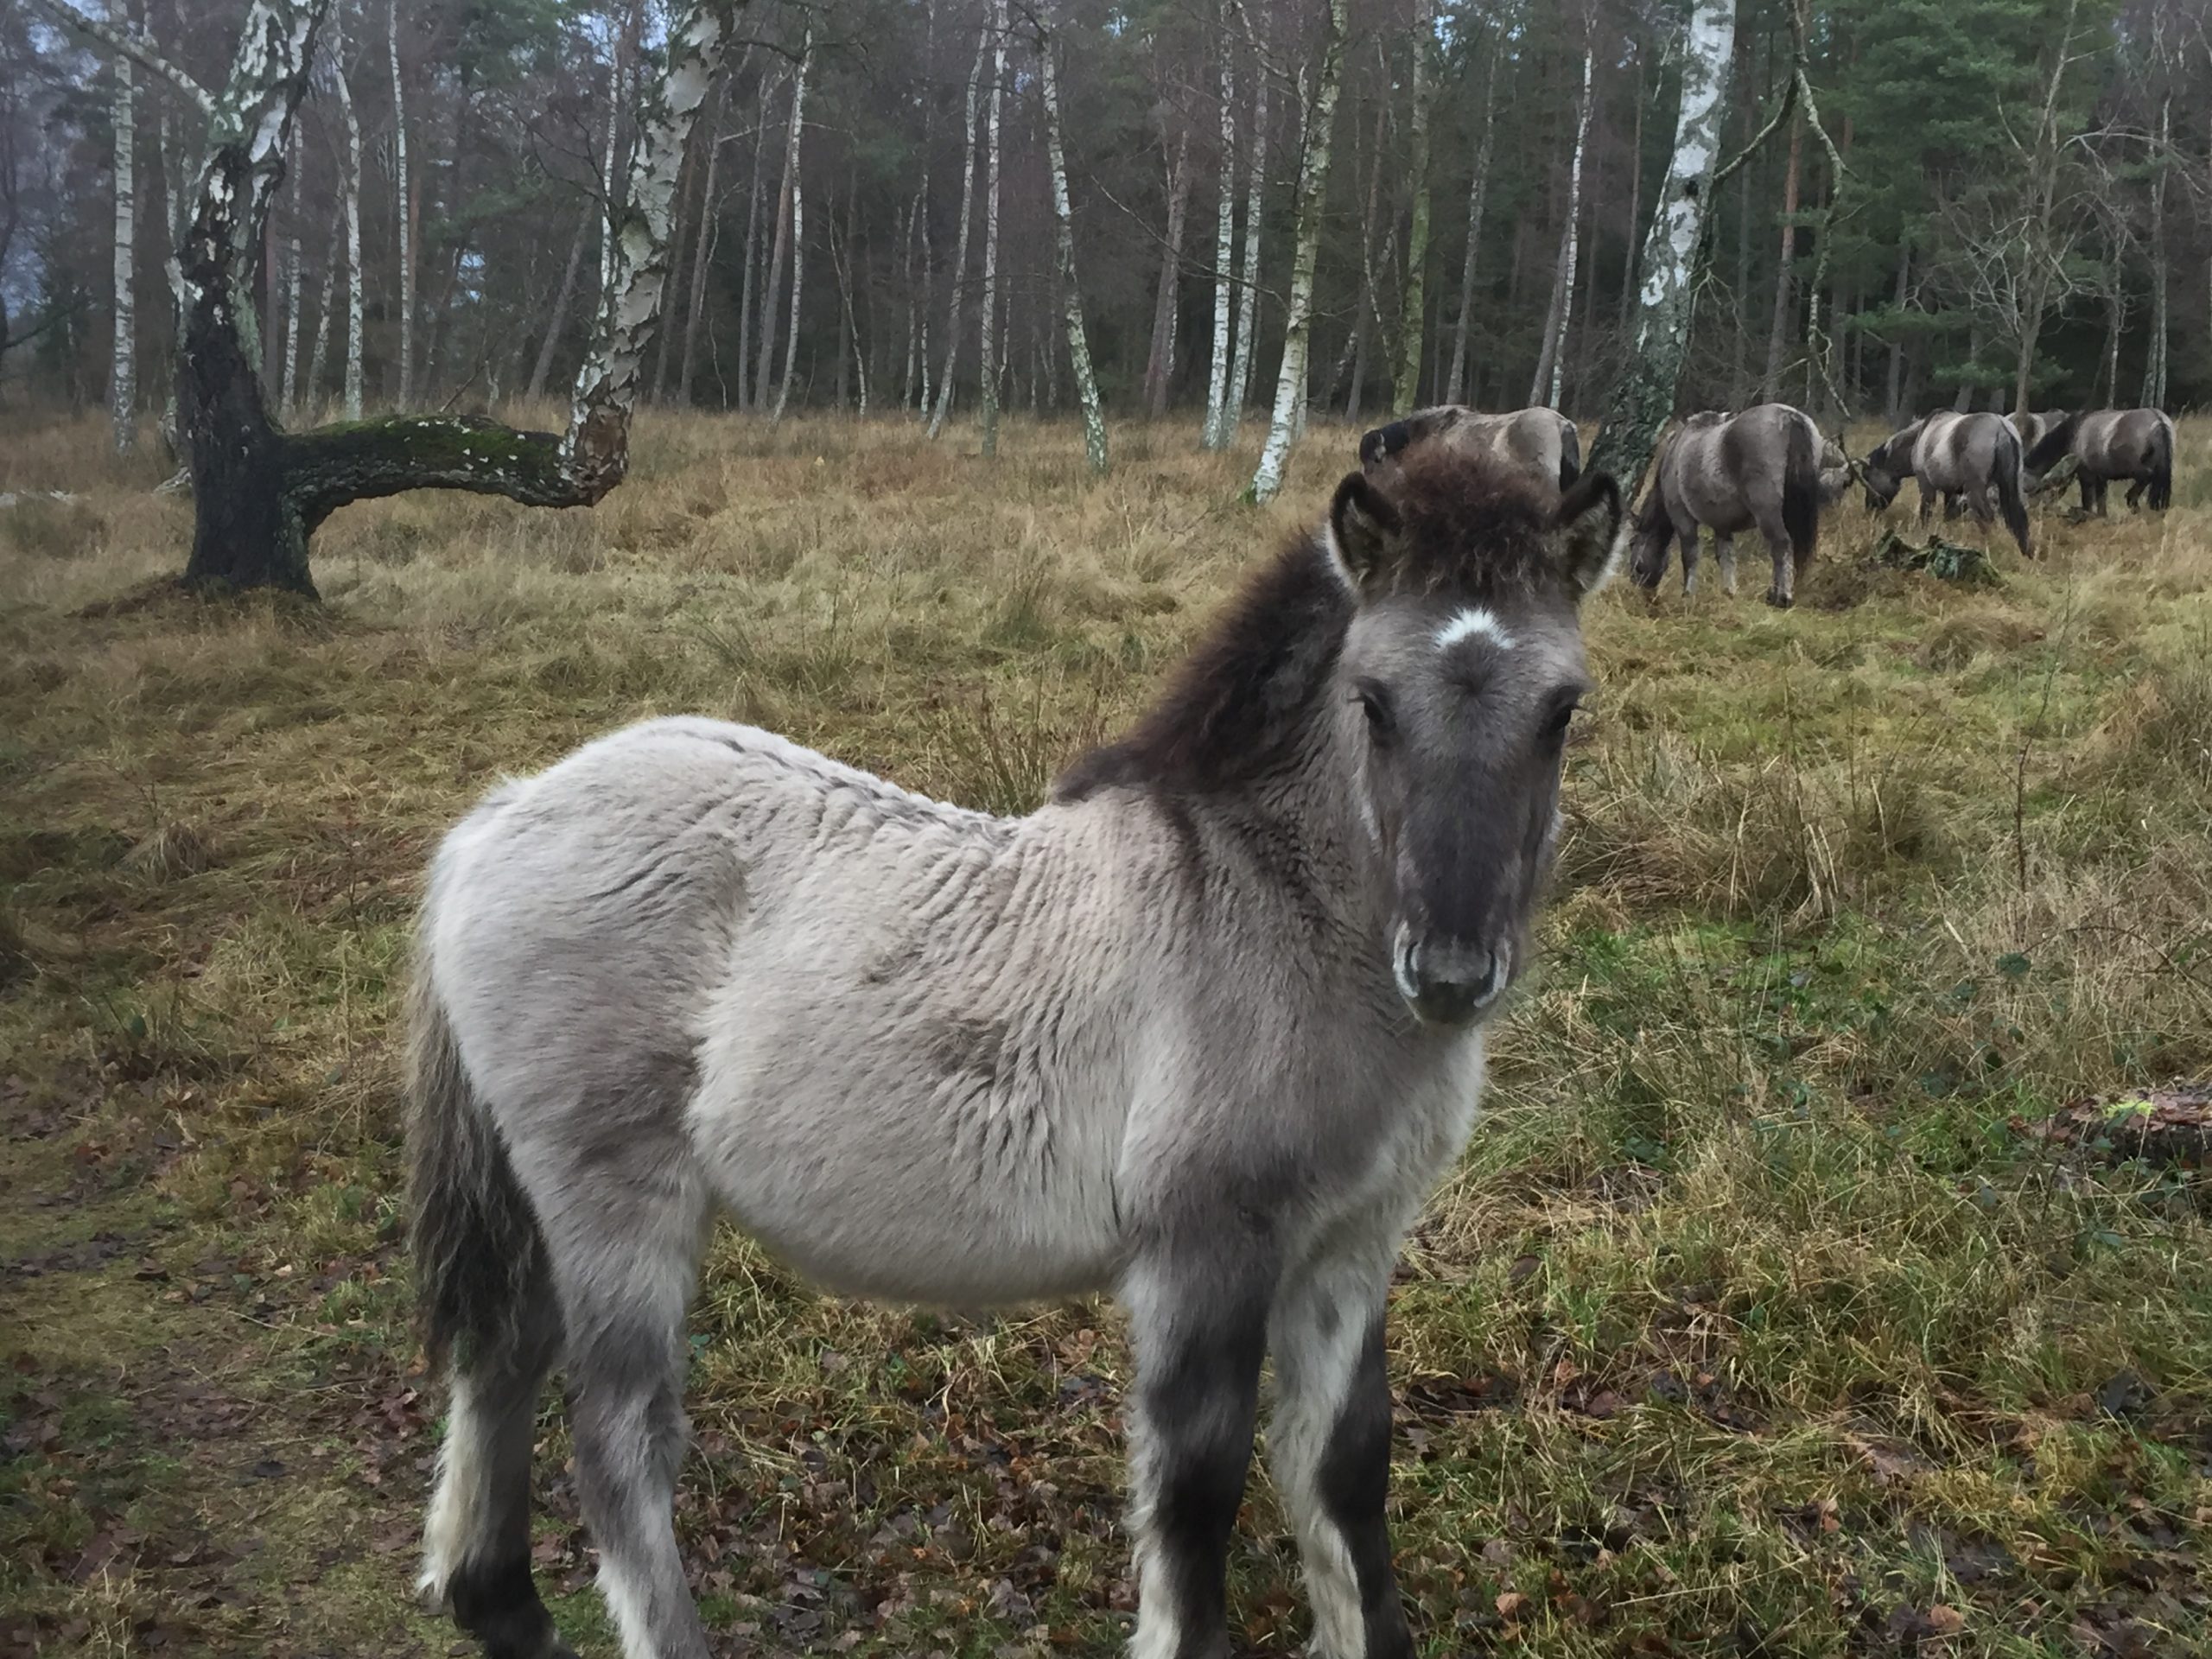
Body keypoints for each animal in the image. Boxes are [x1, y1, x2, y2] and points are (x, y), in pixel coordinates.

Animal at [411, 451, 1628, 1659]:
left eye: (1562, 710)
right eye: (1372, 702)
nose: (1453, 973)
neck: (1272, 912)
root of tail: (501, 815)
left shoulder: (1351, 1246)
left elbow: (1344, 1468)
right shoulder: (1204, 1251)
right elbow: (1196, 1494)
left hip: (544, 1199)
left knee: (501, 1358)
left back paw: (498, 1606)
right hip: (615, 1197)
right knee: (615, 1443)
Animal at [1637, 402, 1822, 610]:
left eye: (1633, 549)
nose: (1645, 593)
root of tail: (1789, 416)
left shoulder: (1682, 518)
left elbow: (1690, 555)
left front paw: (1688, 594)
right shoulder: (1722, 525)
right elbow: (1726, 557)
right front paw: (1729, 591)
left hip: (1768, 513)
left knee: (1781, 545)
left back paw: (1782, 597)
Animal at [1858, 409, 2025, 559]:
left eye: (1867, 476)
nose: (1869, 508)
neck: (1919, 438)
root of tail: (2001, 428)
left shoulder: (1926, 484)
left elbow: (1926, 512)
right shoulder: (1950, 491)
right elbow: (1948, 516)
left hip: (1975, 489)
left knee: (1987, 517)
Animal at [2025, 409, 2177, 512]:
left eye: (2034, 490)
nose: (2032, 509)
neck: (2074, 434)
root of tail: (2159, 419)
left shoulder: (2086, 475)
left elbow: (2088, 502)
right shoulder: (2101, 477)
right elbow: (2101, 503)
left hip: (2140, 469)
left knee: (2146, 478)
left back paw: (2132, 501)